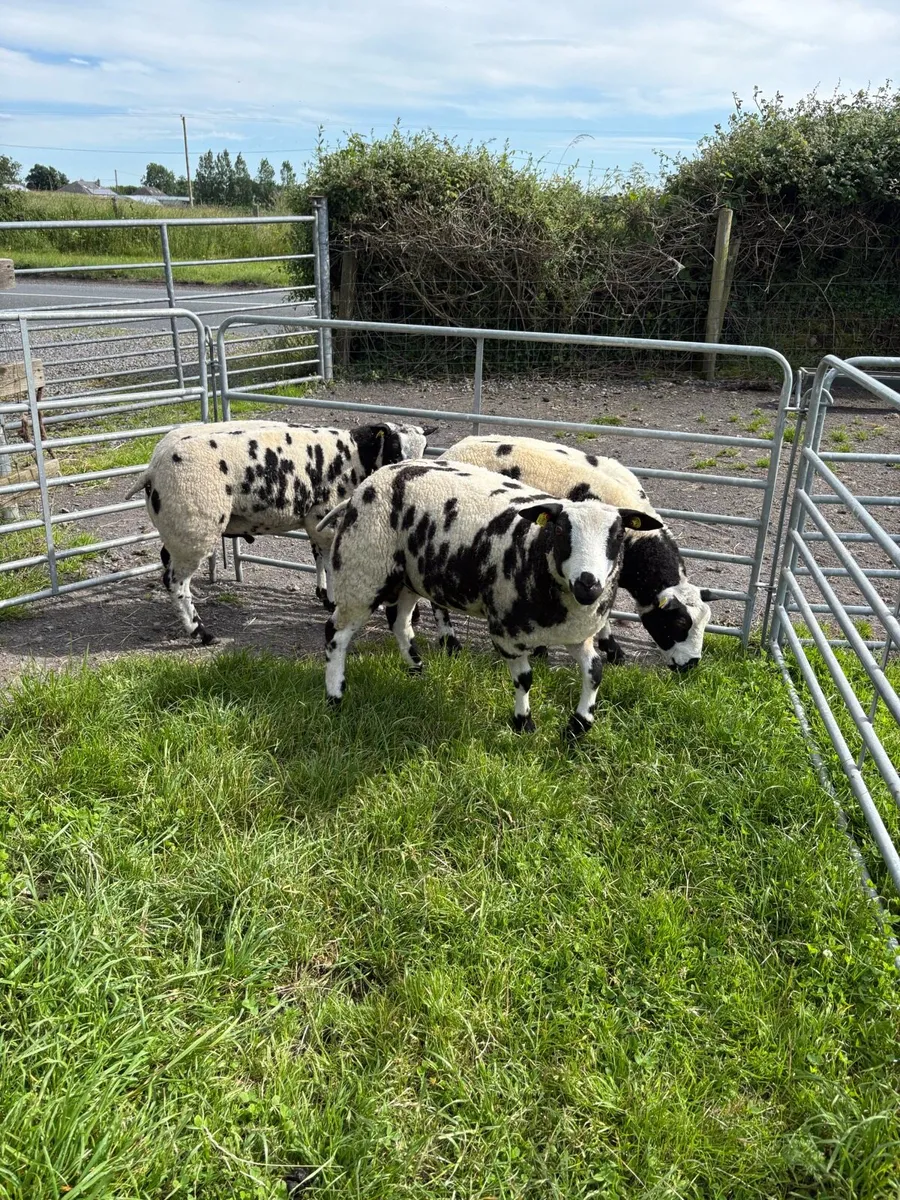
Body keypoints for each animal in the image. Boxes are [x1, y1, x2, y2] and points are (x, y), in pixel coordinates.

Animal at [125, 419, 434, 645]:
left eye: (424, 449)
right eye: (394, 449)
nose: (410, 471)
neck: (356, 455)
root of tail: (153, 469)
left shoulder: (315, 519)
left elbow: (318, 556)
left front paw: (324, 595)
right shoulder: (324, 515)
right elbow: (330, 560)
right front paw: (333, 600)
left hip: (176, 529)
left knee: (167, 562)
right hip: (194, 529)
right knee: (176, 582)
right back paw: (201, 633)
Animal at [316, 459, 663, 736]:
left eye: (617, 535)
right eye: (561, 531)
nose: (588, 584)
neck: (534, 548)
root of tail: (373, 479)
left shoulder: (578, 634)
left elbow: (594, 672)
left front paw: (578, 727)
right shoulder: (506, 633)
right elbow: (524, 678)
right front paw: (524, 724)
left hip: (408, 577)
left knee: (399, 622)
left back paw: (416, 669)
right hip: (363, 569)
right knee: (336, 633)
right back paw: (334, 696)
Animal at [435, 435, 716, 670]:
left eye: (704, 624)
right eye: (679, 623)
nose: (691, 665)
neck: (636, 541)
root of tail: (456, 447)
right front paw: (611, 650)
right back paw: (449, 643)